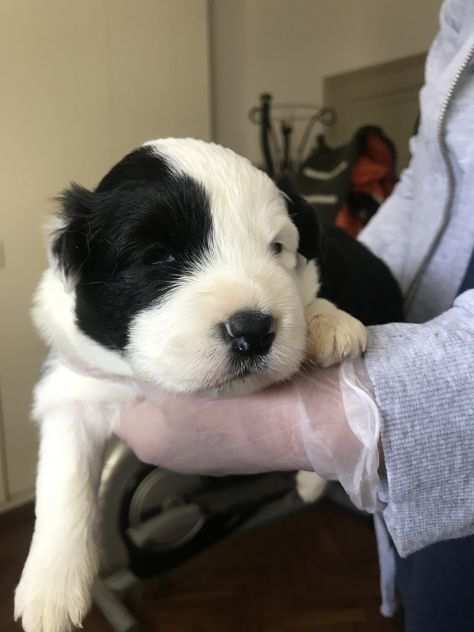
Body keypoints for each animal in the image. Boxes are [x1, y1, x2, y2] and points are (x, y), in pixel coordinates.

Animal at [13, 139, 400, 632]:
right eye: (158, 257)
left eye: (277, 248)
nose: (253, 330)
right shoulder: (72, 382)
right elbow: (64, 478)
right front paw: (51, 586)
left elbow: (307, 288)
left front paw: (325, 321)